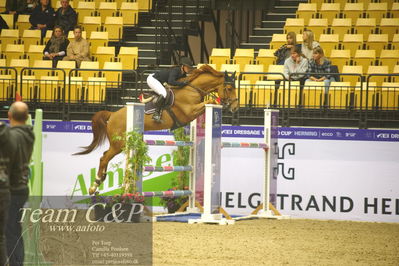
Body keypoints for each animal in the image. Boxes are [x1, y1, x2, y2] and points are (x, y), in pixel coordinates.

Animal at [74, 63, 238, 194]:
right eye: (229, 88)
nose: (235, 107)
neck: (193, 89)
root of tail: (112, 115)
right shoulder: (189, 112)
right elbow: (209, 102)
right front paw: (216, 104)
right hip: (119, 144)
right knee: (104, 158)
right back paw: (95, 186)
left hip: (120, 143)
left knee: (105, 156)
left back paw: (100, 180)